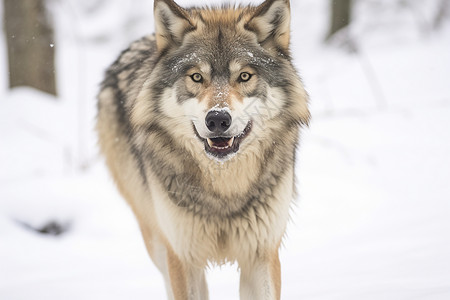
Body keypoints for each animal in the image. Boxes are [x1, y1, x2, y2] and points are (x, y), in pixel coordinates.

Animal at [97, 0, 310, 298]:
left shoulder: (262, 254)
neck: (225, 189)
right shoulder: (181, 257)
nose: (218, 119)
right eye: (197, 77)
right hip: (156, 240)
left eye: (244, 76)